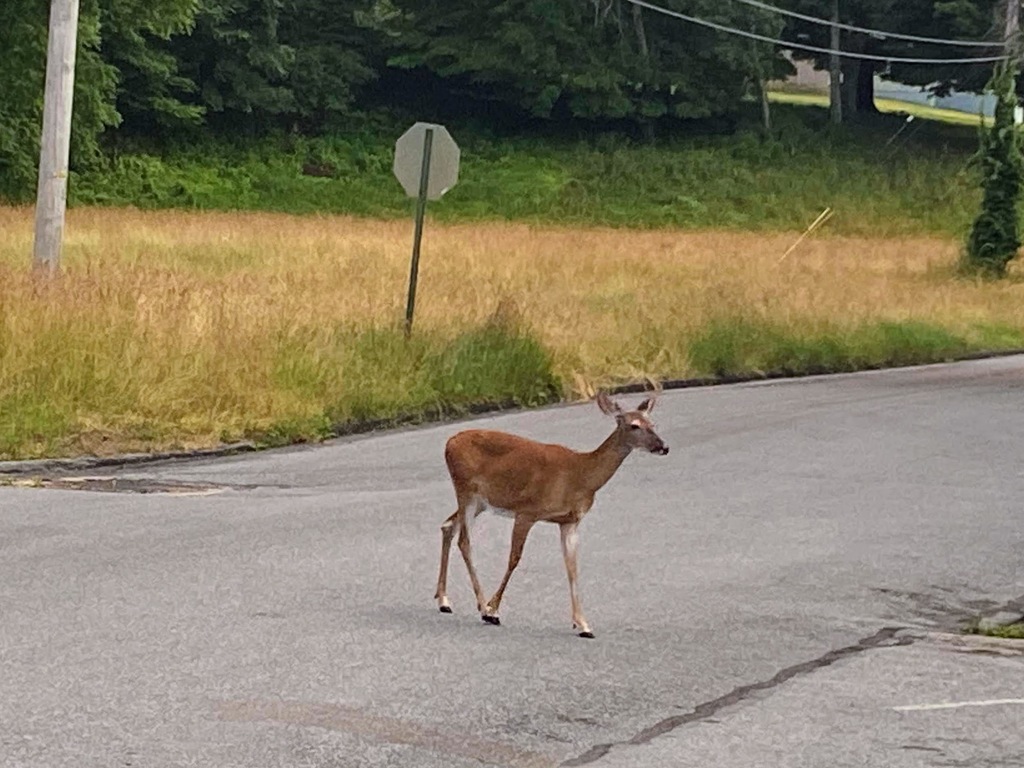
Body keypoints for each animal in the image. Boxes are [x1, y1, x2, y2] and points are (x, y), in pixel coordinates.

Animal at [433, 390, 669, 638]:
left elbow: (572, 568)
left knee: (448, 526)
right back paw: (482, 607)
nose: (664, 447)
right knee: (464, 541)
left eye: (653, 423)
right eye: (634, 425)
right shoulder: (527, 511)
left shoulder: (570, 522)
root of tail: (449, 442)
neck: (581, 476)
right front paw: (494, 609)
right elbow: (514, 559)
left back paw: (444, 600)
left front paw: (583, 624)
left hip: (479, 501)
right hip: (466, 489)